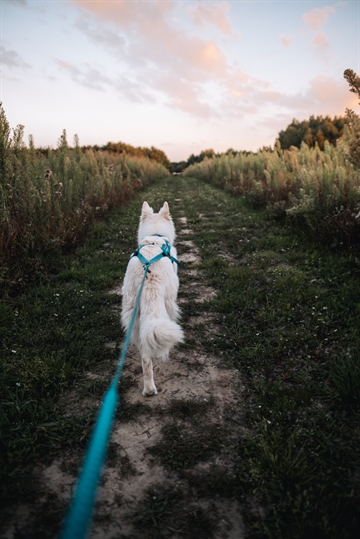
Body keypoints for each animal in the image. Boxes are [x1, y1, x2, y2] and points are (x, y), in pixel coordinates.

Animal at [120, 202, 183, 396]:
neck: (155, 237)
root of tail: (148, 277)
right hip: (167, 305)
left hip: (133, 315)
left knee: (145, 356)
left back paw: (149, 389)